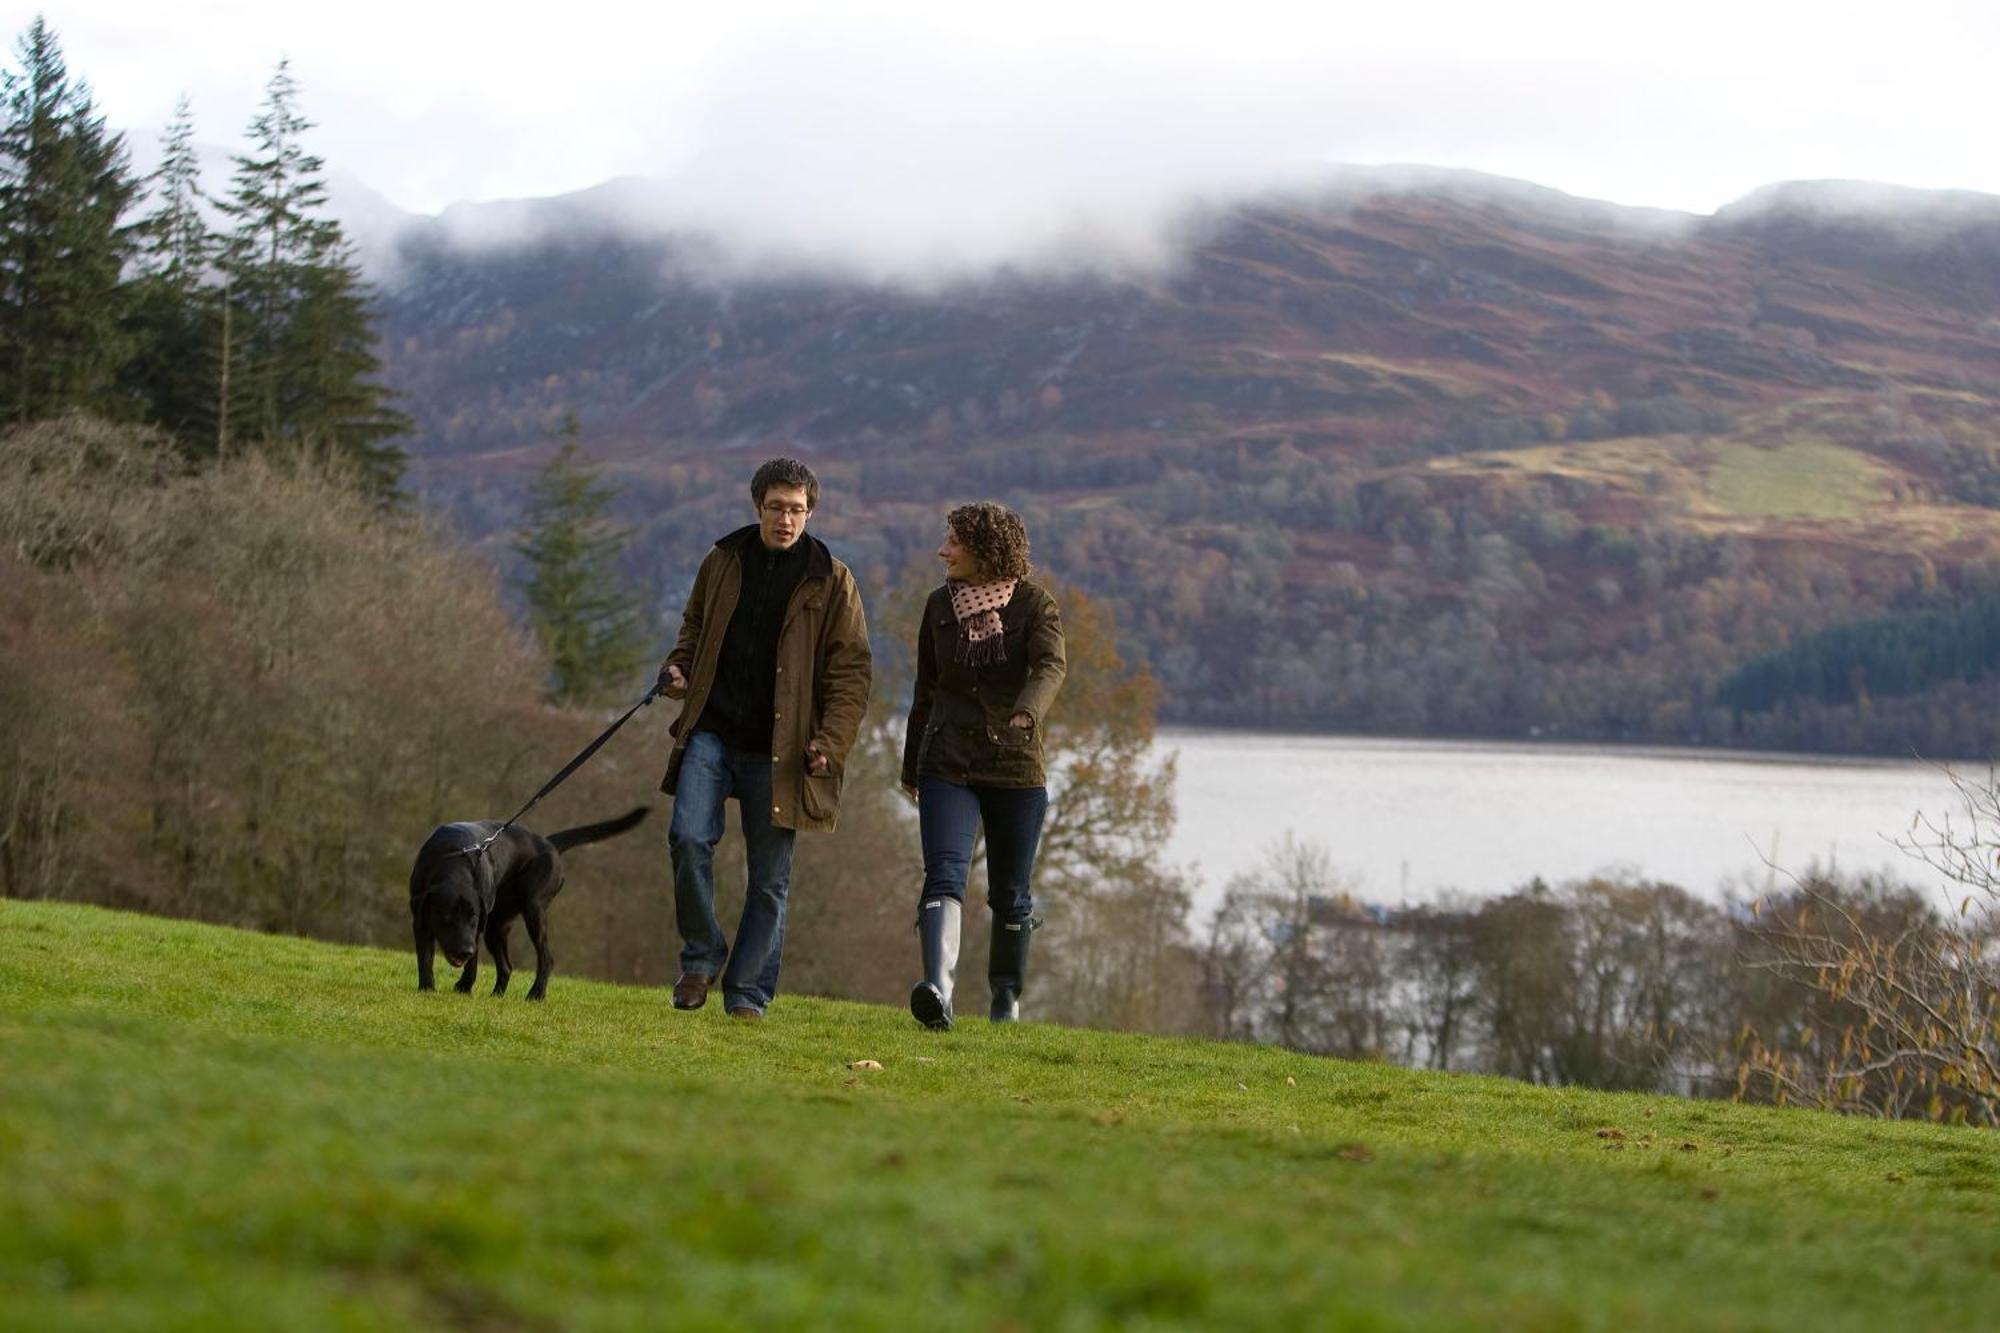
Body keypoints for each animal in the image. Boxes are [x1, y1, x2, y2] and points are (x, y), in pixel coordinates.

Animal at [408, 804, 648, 992]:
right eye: (447, 915)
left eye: (473, 917)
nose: (465, 951)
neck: (452, 860)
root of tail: (549, 843)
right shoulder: (421, 920)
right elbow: (425, 958)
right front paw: (427, 988)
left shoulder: (477, 928)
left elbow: (472, 963)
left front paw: (464, 987)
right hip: (496, 925)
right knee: (506, 966)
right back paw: (497, 996)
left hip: (534, 910)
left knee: (547, 959)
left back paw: (536, 994)